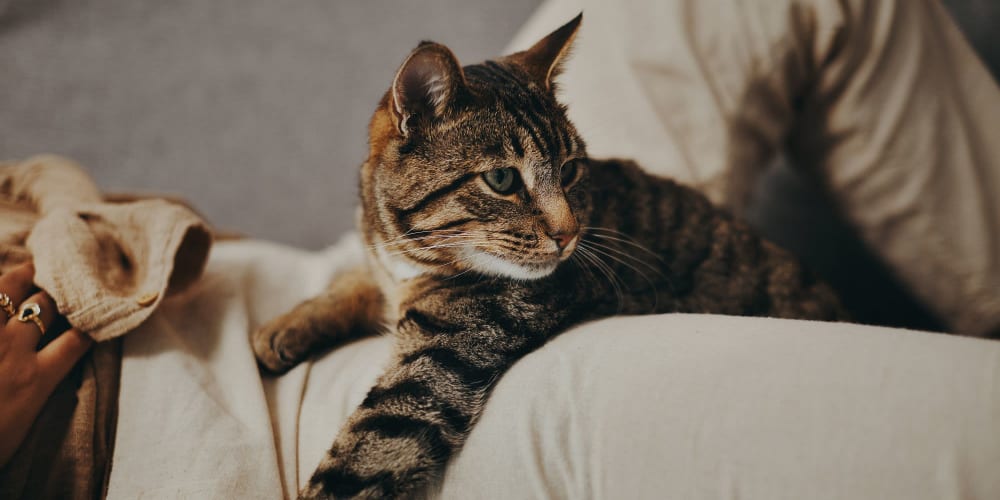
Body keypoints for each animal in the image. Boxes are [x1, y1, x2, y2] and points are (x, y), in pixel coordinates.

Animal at [252, 13, 844, 498]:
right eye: (502, 179)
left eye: (570, 170)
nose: (569, 233)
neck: (411, 254)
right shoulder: (385, 268)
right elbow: (353, 280)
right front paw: (283, 327)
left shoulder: (442, 361)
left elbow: (363, 453)